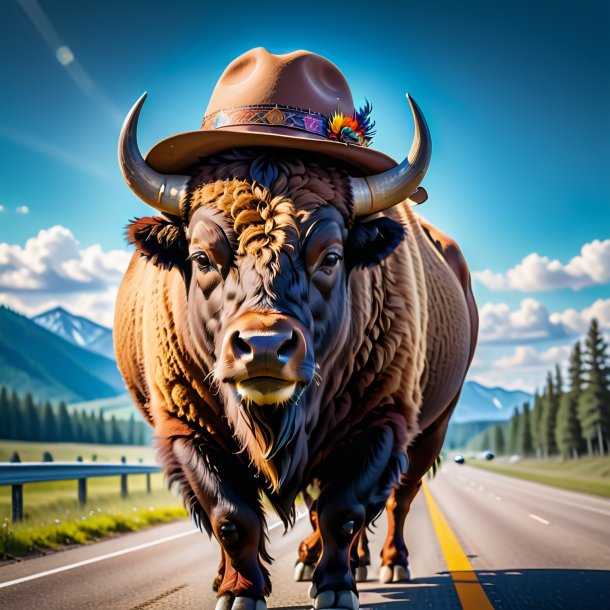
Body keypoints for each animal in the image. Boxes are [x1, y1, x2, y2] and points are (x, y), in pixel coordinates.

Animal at [114, 47, 476, 608]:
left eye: (330, 256)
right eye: (201, 257)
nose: (264, 346)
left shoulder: (383, 419)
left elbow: (343, 509)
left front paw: (336, 588)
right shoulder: (187, 427)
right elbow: (231, 515)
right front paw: (240, 592)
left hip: (432, 427)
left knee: (400, 497)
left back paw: (386, 563)